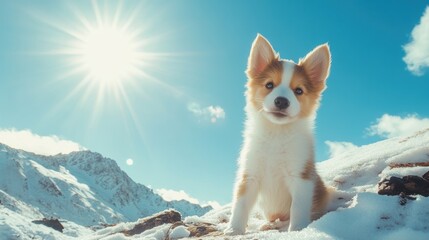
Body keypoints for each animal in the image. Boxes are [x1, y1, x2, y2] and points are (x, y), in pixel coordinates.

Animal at [224, 33, 332, 234]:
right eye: (269, 85)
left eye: (299, 90)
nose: (281, 101)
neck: (276, 133)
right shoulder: (250, 174)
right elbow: (240, 205)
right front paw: (234, 230)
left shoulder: (300, 177)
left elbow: (297, 208)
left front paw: (297, 231)